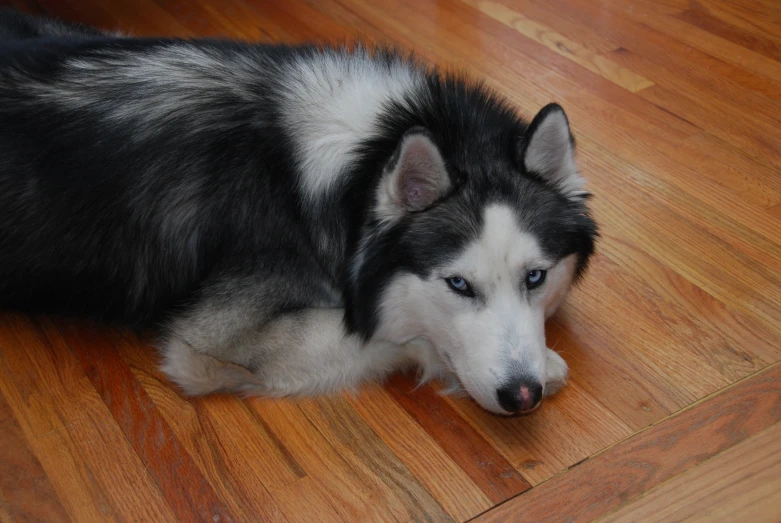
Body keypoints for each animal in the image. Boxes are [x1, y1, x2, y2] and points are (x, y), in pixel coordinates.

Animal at [1, 10, 596, 416]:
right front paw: (545, 364)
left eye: (536, 277)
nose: (522, 395)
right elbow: (390, 330)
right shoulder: (210, 343)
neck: (366, 157)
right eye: (458, 285)